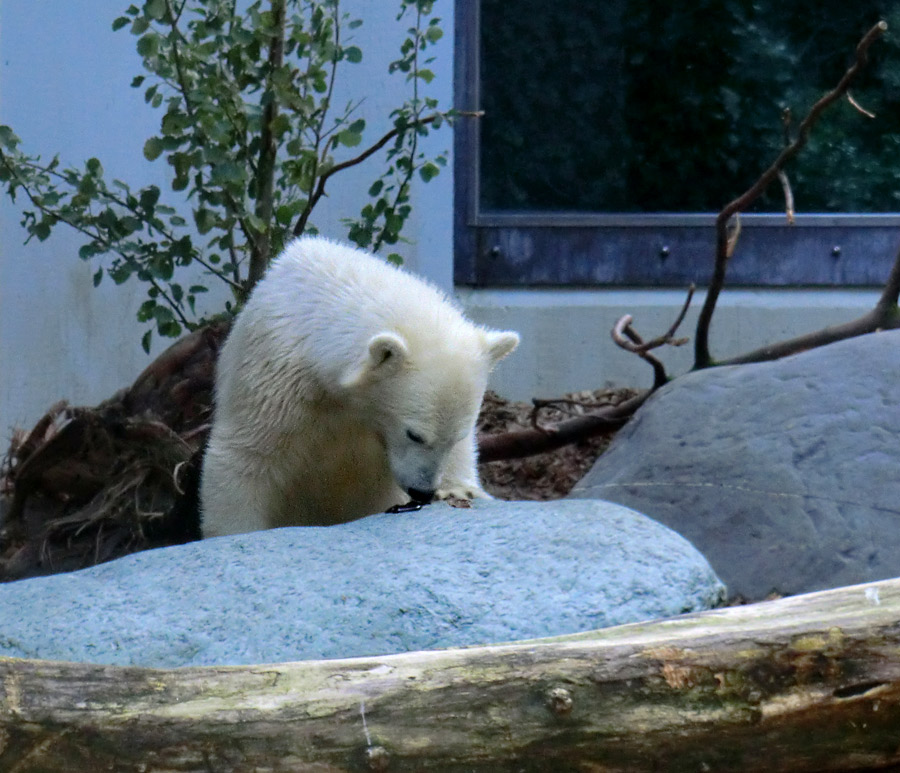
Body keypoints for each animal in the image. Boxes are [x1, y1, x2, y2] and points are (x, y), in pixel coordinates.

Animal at [200, 235, 516, 536]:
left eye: (457, 436)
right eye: (414, 434)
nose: (422, 491)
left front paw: (460, 489)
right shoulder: (275, 375)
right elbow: (245, 457)